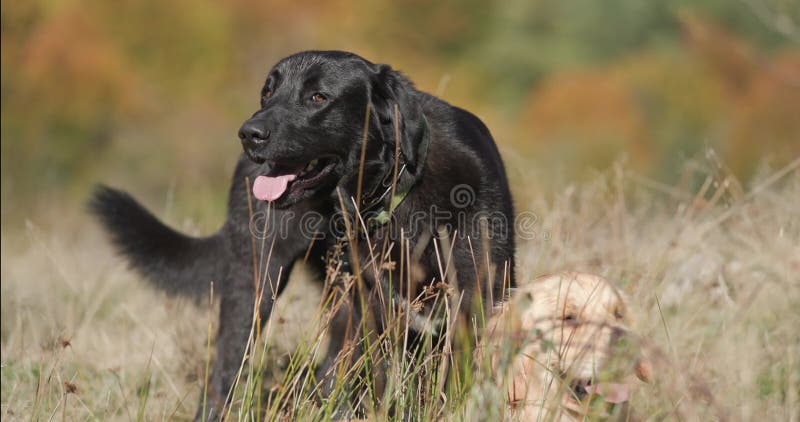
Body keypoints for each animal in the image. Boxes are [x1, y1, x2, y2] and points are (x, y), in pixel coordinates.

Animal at [90, 50, 516, 418]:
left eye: (318, 97)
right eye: (267, 91)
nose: (249, 134)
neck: (392, 194)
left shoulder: (474, 300)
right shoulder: (370, 311)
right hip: (257, 283)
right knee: (228, 372)